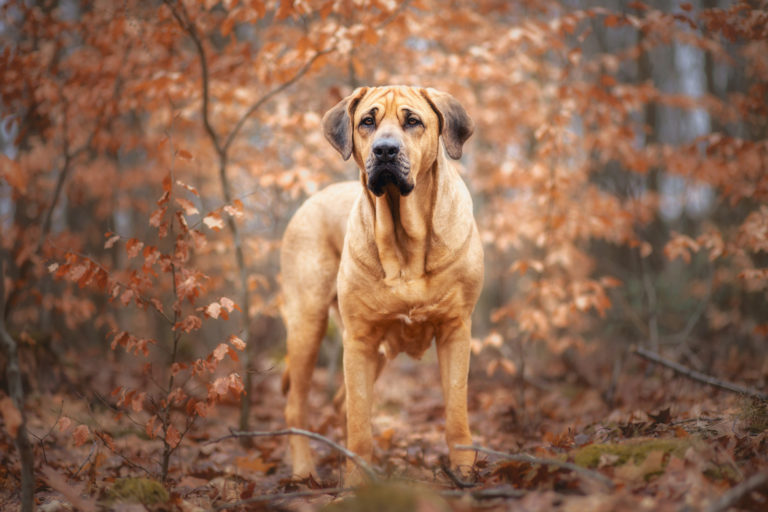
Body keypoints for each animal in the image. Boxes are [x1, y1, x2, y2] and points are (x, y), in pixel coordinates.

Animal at [280, 85, 484, 484]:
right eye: (367, 122)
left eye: (413, 121)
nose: (385, 150)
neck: (406, 242)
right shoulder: (360, 339)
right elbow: (359, 424)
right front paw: (354, 485)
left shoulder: (455, 330)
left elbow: (456, 411)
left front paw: (464, 472)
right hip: (307, 324)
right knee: (298, 408)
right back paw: (303, 472)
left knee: (340, 403)